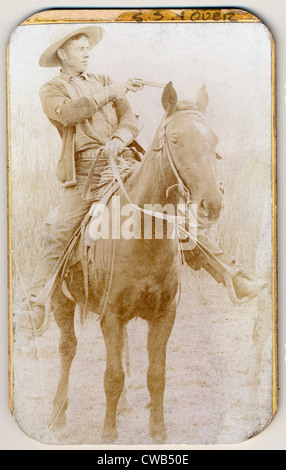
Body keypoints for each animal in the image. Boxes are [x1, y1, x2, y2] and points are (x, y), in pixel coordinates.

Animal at [48, 82, 223, 442]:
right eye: (175, 140)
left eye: (213, 140)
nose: (211, 204)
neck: (142, 236)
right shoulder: (111, 316)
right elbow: (111, 375)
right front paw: (108, 431)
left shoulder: (163, 316)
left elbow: (156, 374)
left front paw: (157, 429)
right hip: (61, 300)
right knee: (67, 349)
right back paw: (58, 413)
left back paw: (125, 406)